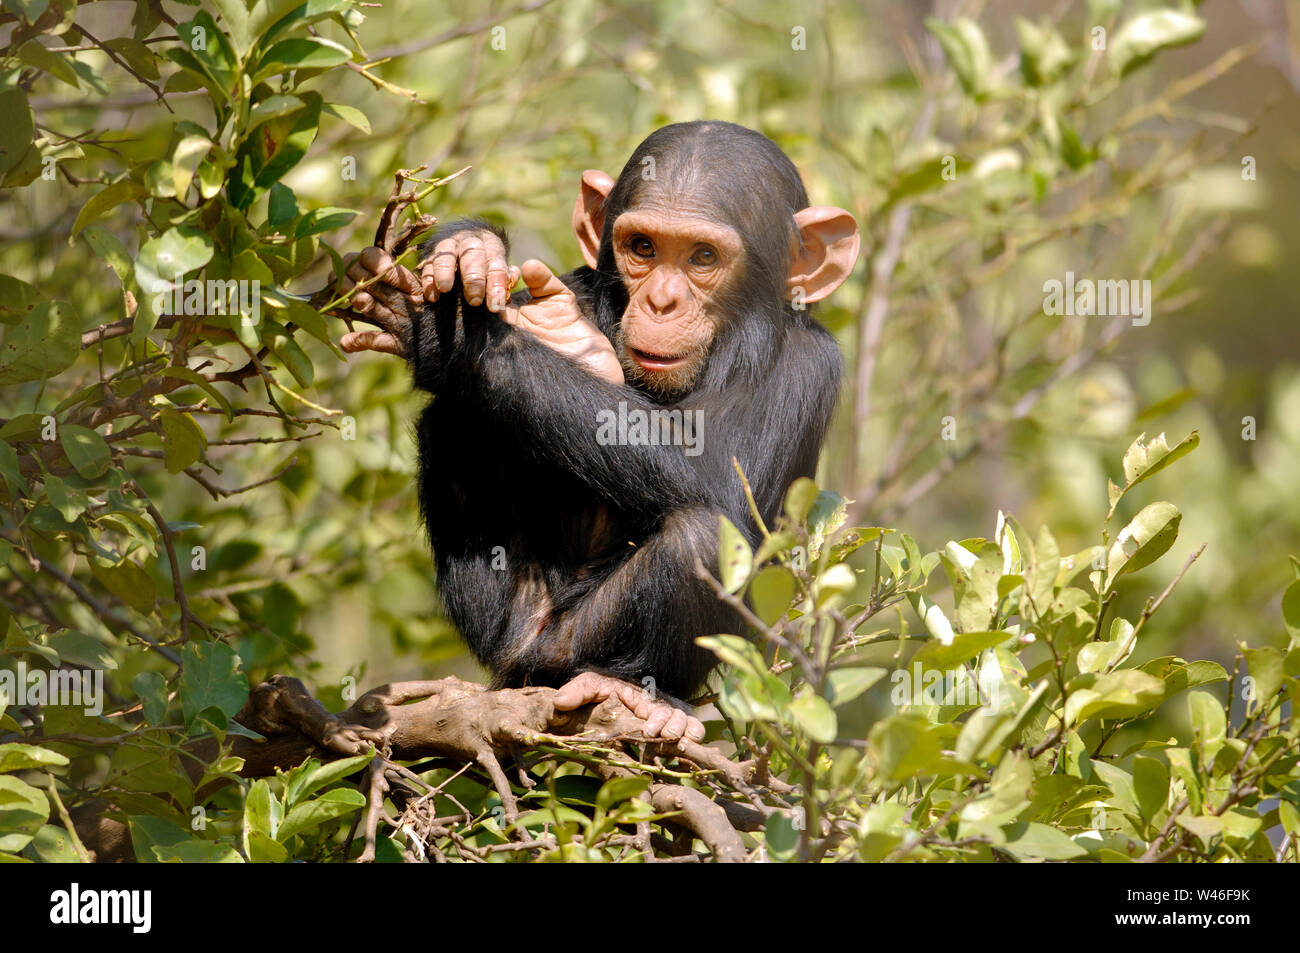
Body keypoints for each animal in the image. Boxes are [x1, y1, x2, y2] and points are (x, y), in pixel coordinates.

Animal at [340, 120, 857, 743]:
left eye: (703, 257)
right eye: (643, 248)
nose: (661, 300)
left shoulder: (809, 364)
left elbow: (714, 471)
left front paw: (455, 337)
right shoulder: (578, 283)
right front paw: (471, 254)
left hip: (570, 644)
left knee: (703, 537)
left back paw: (636, 689)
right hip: (514, 630)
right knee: (452, 417)